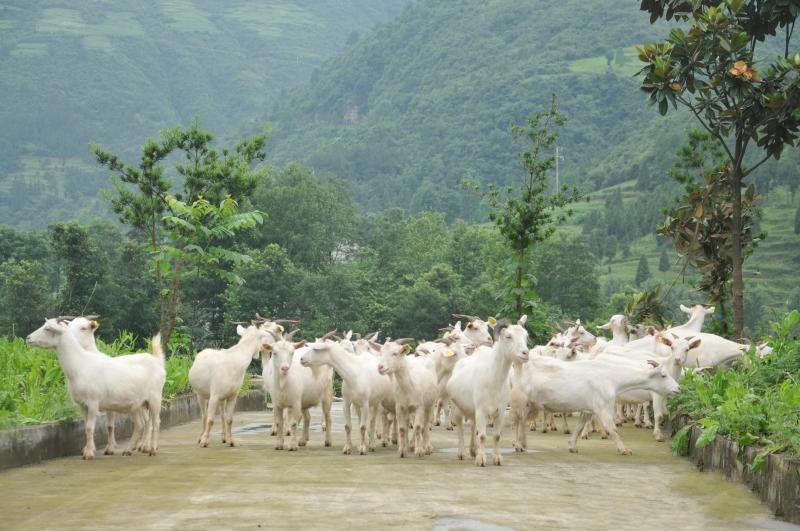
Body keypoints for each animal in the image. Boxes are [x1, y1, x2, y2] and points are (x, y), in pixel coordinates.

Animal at [26, 318, 166, 460]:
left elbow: (90, 427)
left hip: (155, 398)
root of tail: (157, 360)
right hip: (135, 404)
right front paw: (89, 449)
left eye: (48, 328)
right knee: (140, 424)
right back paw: (128, 450)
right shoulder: (82, 404)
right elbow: (86, 427)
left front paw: (88, 453)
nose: (28, 338)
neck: (81, 364)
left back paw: (151, 449)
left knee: (155, 422)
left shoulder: (93, 402)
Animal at [444, 316, 532, 466]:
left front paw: (497, 458)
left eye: (525, 336)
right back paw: (461, 453)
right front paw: (481, 459)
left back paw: (473, 450)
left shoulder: (500, 411)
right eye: (508, 336)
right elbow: (483, 436)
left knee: (473, 426)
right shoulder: (481, 410)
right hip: (457, 407)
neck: (493, 380)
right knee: (460, 427)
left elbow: (496, 436)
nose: (525, 353)